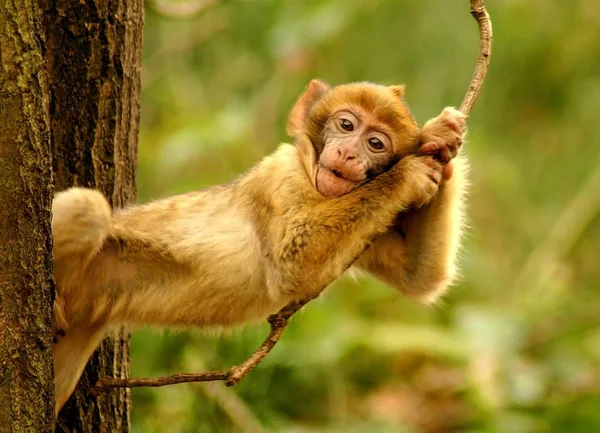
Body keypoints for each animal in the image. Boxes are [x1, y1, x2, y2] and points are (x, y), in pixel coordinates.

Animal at [51, 78, 466, 412]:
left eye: (376, 143)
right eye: (346, 125)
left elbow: (419, 278)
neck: (310, 177)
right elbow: (292, 266)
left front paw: (442, 139)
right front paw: (411, 171)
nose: (349, 153)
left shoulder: (374, 228)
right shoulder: (279, 177)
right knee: (89, 209)